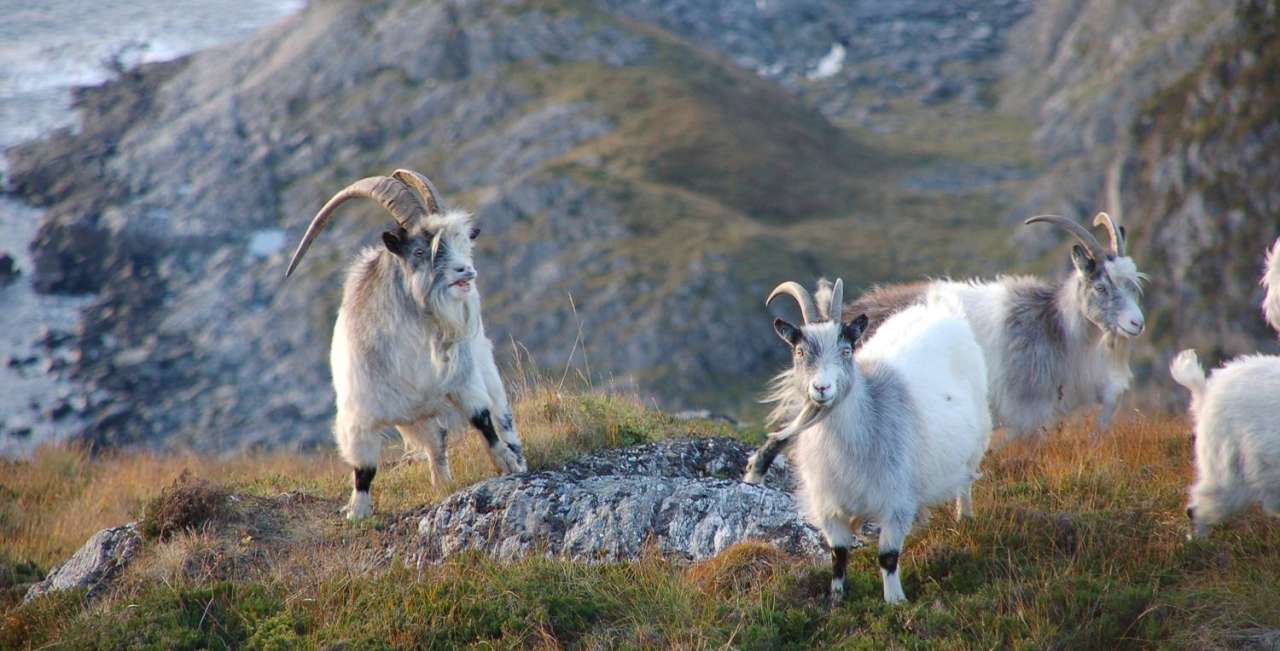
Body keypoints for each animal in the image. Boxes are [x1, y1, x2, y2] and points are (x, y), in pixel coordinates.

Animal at [288, 170, 527, 519]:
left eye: (461, 242)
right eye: (419, 252)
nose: (466, 272)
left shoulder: (464, 380)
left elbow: (483, 419)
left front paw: (508, 462)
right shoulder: (359, 415)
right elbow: (364, 468)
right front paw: (358, 511)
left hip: (483, 366)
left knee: (500, 415)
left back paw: (516, 455)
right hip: (416, 417)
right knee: (437, 441)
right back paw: (442, 483)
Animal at [747, 276, 988, 601]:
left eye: (847, 350)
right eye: (800, 352)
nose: (821, 388)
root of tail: (940, 310)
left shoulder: (896, 502)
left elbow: (887, 556)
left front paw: (895, 601)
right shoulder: (828, 506)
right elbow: (838, 554)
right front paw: (837, 598)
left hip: (975, 444)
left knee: (965, 483)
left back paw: (965, 518)